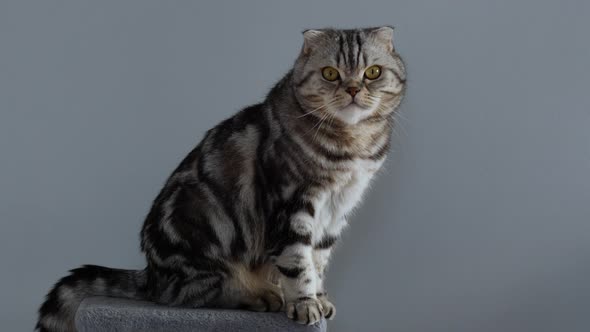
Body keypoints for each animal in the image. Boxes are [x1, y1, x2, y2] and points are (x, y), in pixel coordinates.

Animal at [37, 27, 408, 330]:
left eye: (373, 73)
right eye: (330, 74)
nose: (353, 89)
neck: (352, 146)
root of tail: (150, 274)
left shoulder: (338, 209)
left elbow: (318, 260)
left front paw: (320, 297)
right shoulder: (293, 203)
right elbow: (297, 261)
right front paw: (304, 304)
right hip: (201, 230)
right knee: (187, 294)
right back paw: (259, 295)